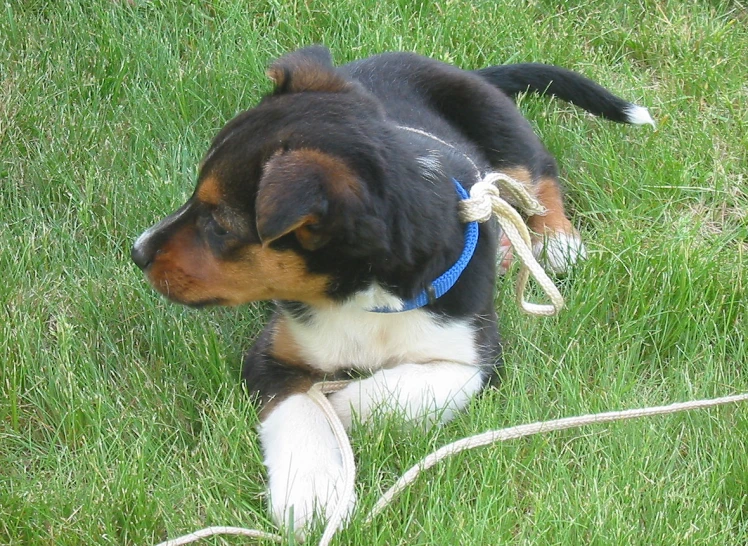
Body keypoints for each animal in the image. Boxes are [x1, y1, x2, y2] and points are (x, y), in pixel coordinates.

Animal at [131, 45, 652, 532]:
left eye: (219, 226)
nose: (137, 252)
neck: (364, 300)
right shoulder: (273, 352)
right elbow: (299, 406)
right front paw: (312, 494)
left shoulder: (476, 357)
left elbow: (404, 390)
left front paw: (343, 405)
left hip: (501, 126)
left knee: (538, 176)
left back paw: (559, 243)